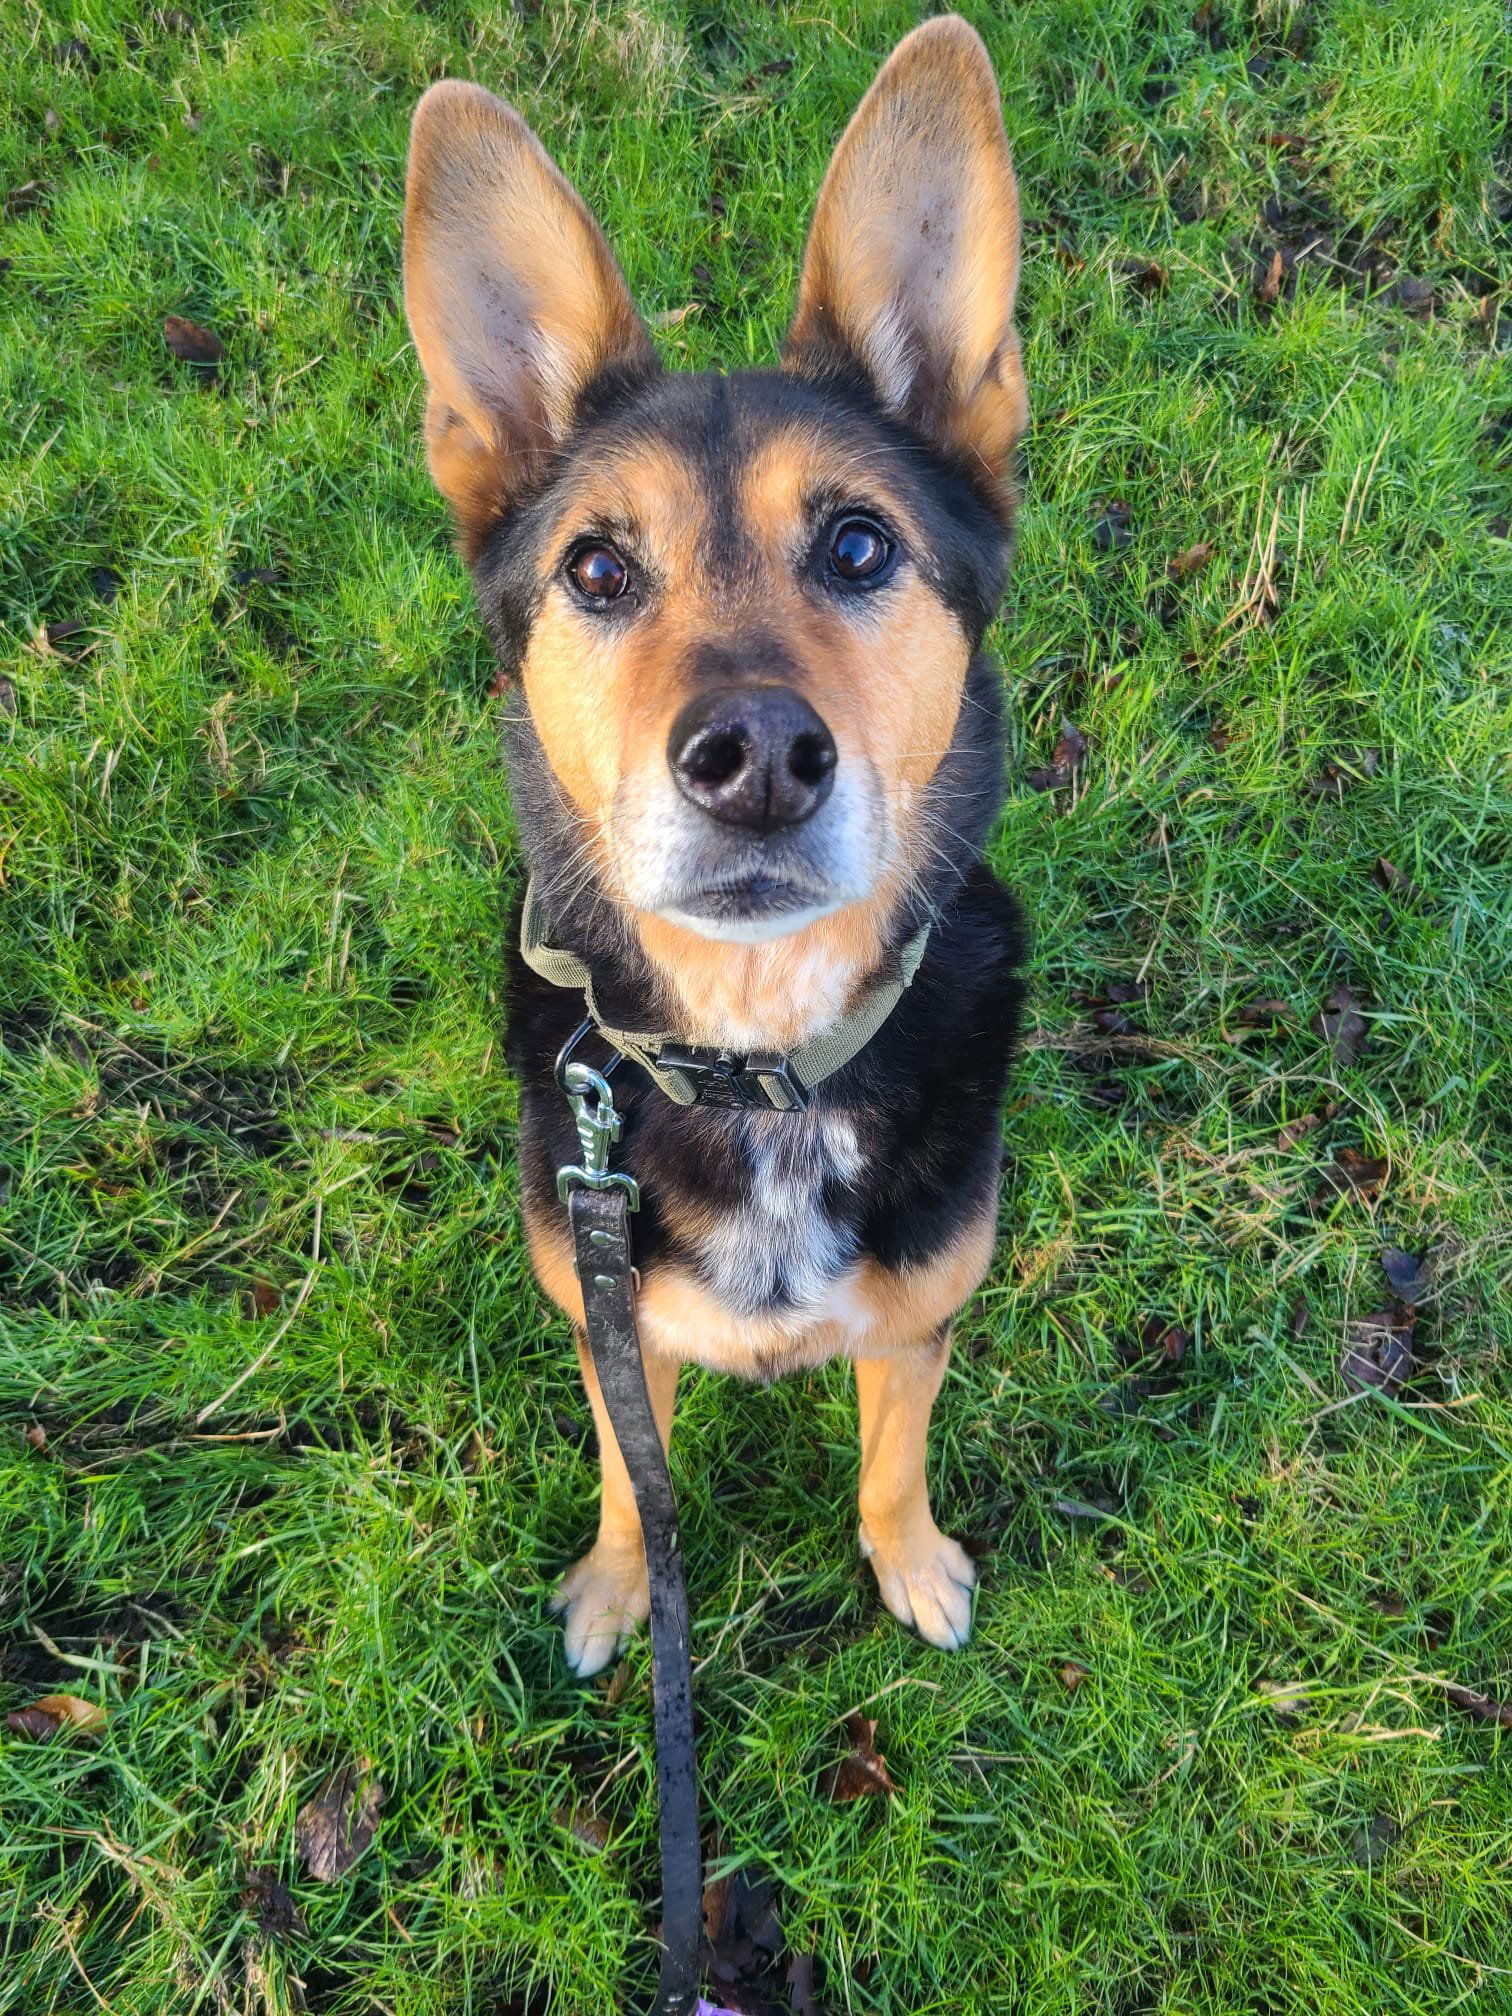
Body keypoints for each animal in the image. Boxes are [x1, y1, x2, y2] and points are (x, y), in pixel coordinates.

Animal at [403, 16, 1027, 1677]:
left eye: (861, 545)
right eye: (597, 570)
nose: (754, 760)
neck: (760, 1065)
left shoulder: (921, 1316)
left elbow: (890, 1458)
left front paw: (910, 1562)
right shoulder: (605, 1315)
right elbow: (637, 1477)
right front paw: (623, 1589)